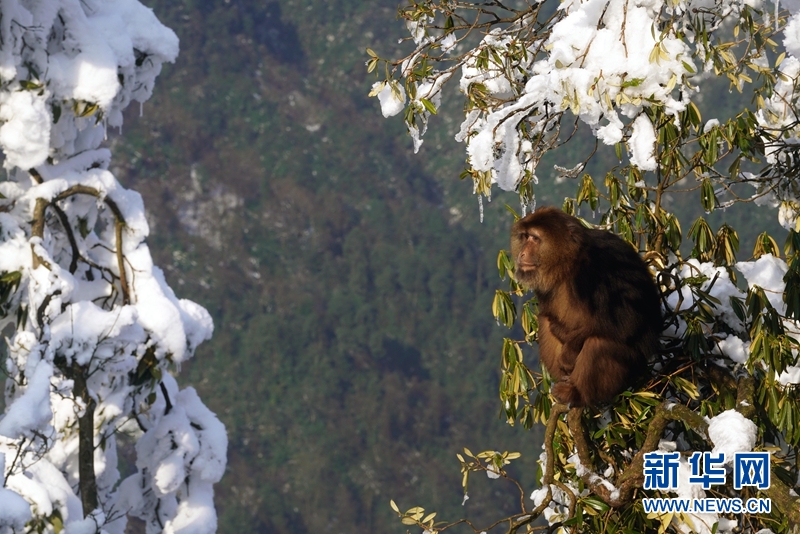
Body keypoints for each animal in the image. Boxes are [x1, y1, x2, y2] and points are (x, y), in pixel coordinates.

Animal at [512, 207, 664, 408]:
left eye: (535, 238)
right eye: (524, 237)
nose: (521, 254)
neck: (570, 264)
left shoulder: (599, 268)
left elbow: (629, 320)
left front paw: (569, 351)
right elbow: (549, 316)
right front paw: (559, 331)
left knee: (598, 342)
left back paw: (577, 393)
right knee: (545, 321)